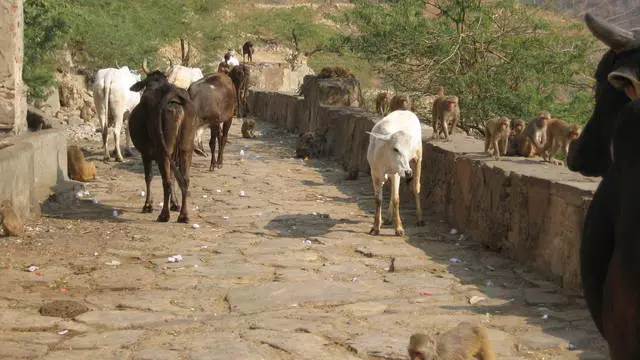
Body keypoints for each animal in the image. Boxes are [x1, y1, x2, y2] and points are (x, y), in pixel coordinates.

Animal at [128, 60, 196, 224]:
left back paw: (164, 215)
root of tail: (173, 95)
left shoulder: (145, 153)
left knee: (166, 181)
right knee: (184, 179)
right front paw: (175, 204)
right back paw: (183, 215)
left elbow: (149, 177)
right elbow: (173, 175)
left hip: (163, 150)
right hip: (185, 148)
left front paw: (148, 205)